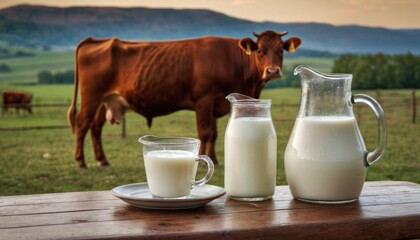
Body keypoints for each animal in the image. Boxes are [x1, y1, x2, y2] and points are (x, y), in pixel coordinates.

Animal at [67, 30, 300, 168]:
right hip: (91, 97)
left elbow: (214, 134)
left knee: (95, 127)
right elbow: (205, 133)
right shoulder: (204, 99)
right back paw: (80, 161)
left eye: (281, 50)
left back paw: (102, 159)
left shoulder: (216, 102)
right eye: (259, 50)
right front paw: (206, 160)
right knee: (82, 124)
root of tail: (97, 41)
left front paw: (214, 159)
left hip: (106, 100)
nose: (272, 71)